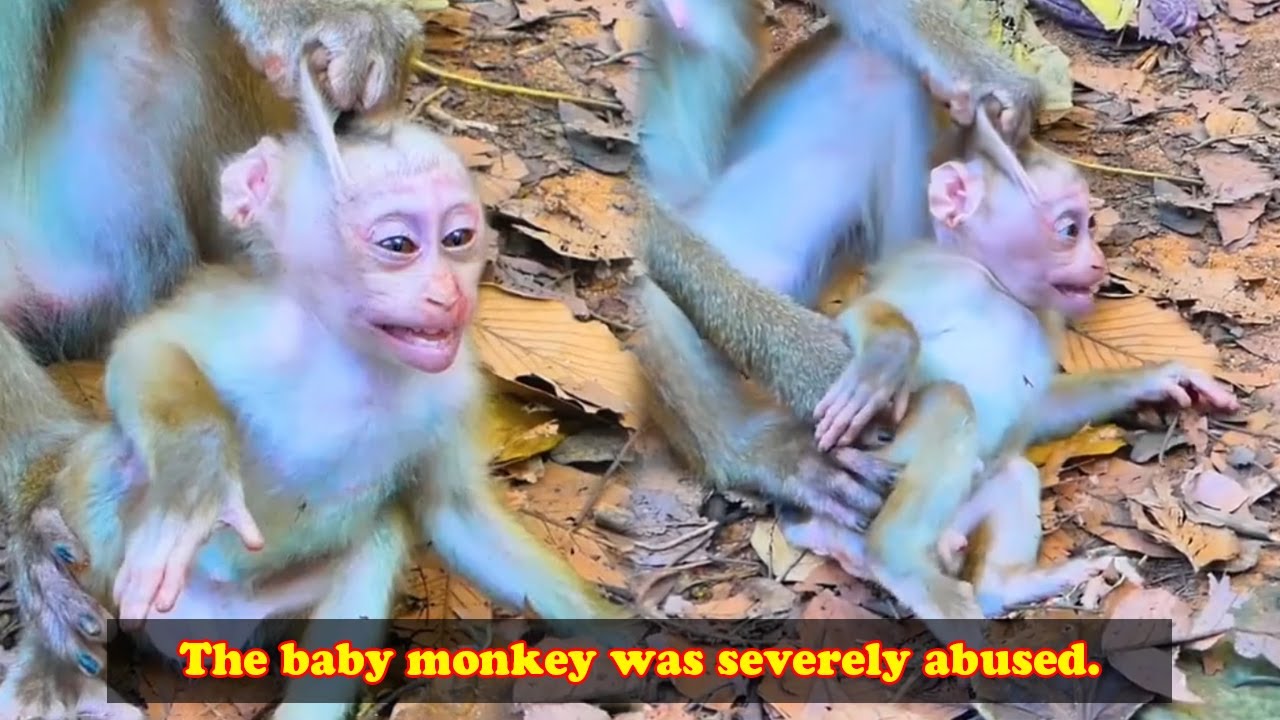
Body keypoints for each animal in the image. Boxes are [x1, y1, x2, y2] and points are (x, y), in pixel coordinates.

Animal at [641, 108, 1242, 647]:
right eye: (1070, 229)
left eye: (1090, 228)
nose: (1096, 262)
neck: (1001, 290)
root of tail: (816, 529)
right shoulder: (942, 279)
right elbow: (861, 318)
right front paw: (885, 357)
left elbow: (1040, 408)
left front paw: (1157, 379)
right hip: (879, 469)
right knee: (950, 404)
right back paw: (900, 559)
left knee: (1010, 473)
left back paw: (1006, 586)